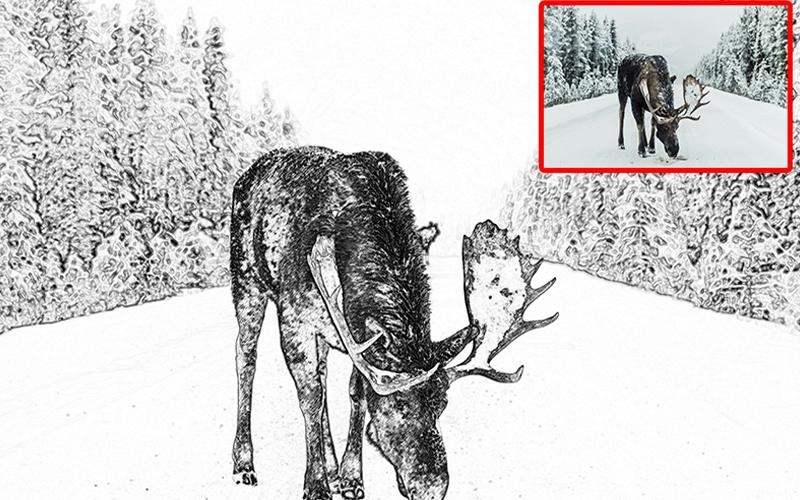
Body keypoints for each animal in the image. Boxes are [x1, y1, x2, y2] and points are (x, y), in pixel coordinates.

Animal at [230, 146, 558, 500]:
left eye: (442, 405)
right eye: (399, 406)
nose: (433, 487)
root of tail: (247, 174)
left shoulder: (356, 337)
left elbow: (356, 395)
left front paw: (350, 478)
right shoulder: (295, 318)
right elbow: (311, 398)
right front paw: (315, 486)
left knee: (322, 372)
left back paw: (331, 464)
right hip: (247, 283)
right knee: (246, 356)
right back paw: (244, 463)